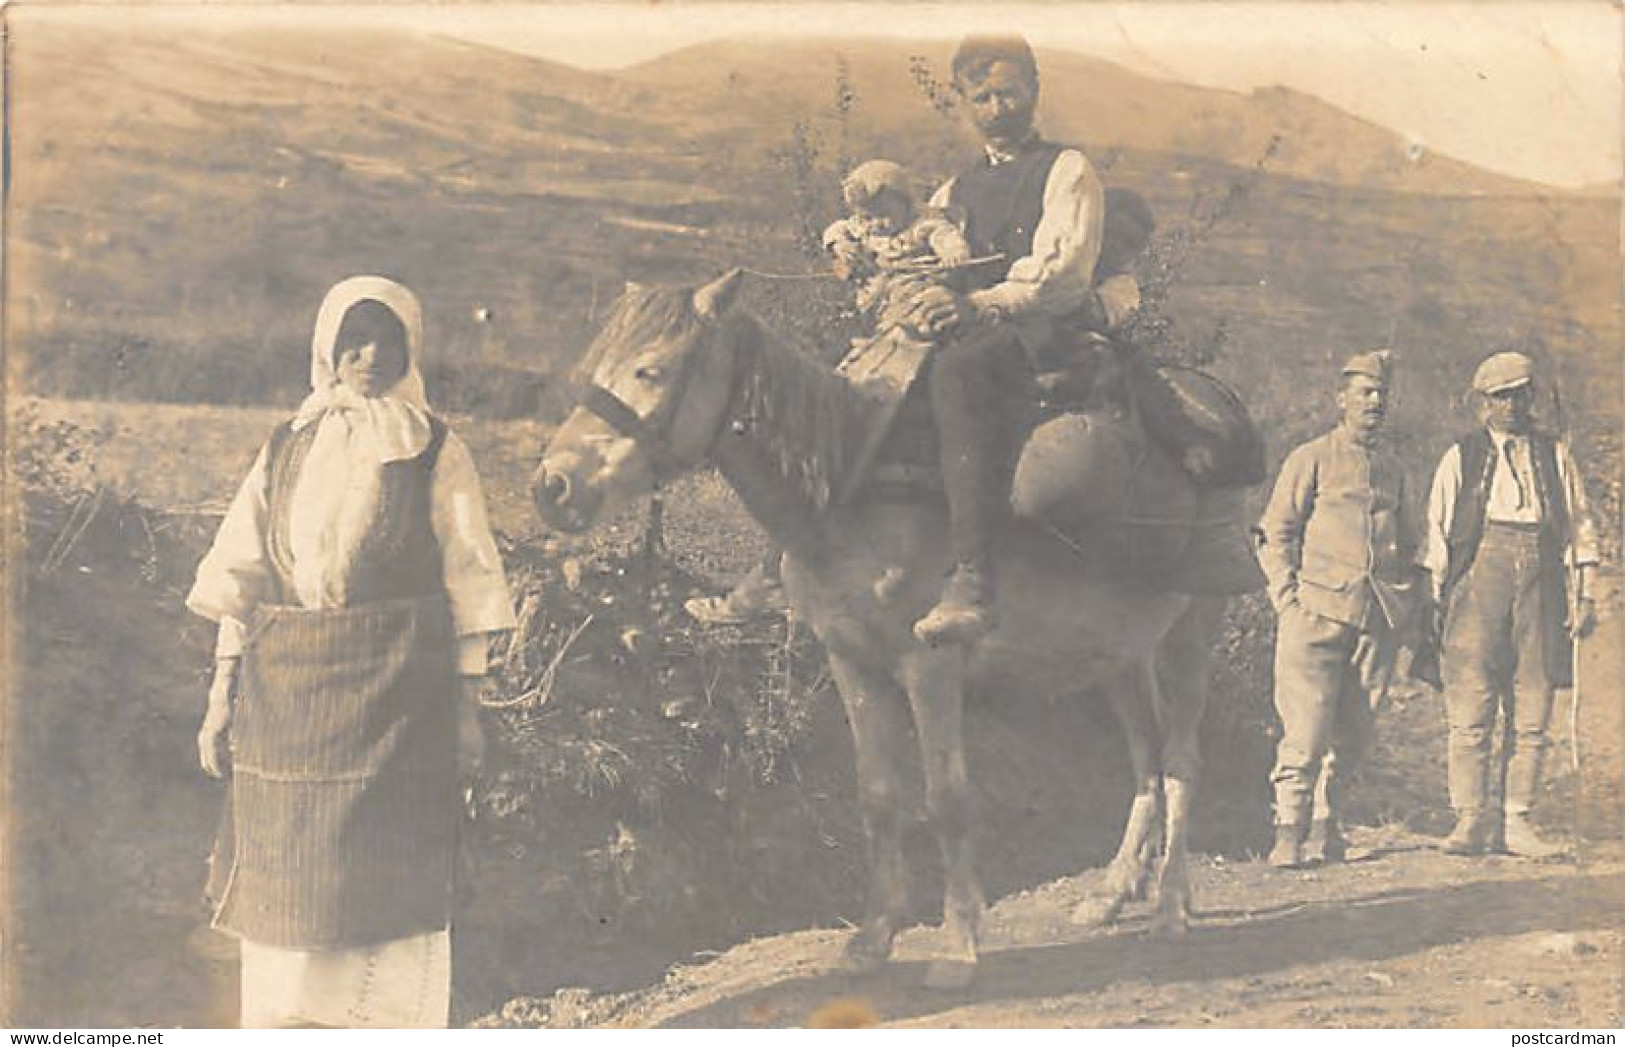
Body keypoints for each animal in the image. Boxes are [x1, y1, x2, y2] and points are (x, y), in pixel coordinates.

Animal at [526, 269, 1222, 988]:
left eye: (650, 369)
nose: (552, 486)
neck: (851, 488)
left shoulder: (929, 666)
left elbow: (946, 799)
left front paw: (958, 945)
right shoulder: (851, 662)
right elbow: (879, 797)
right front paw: (873, 937)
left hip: (1192, 630)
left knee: (1181, 760)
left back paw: (1171, 905)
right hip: (1116, 651)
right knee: (1144, 757)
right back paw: (1115, 892)